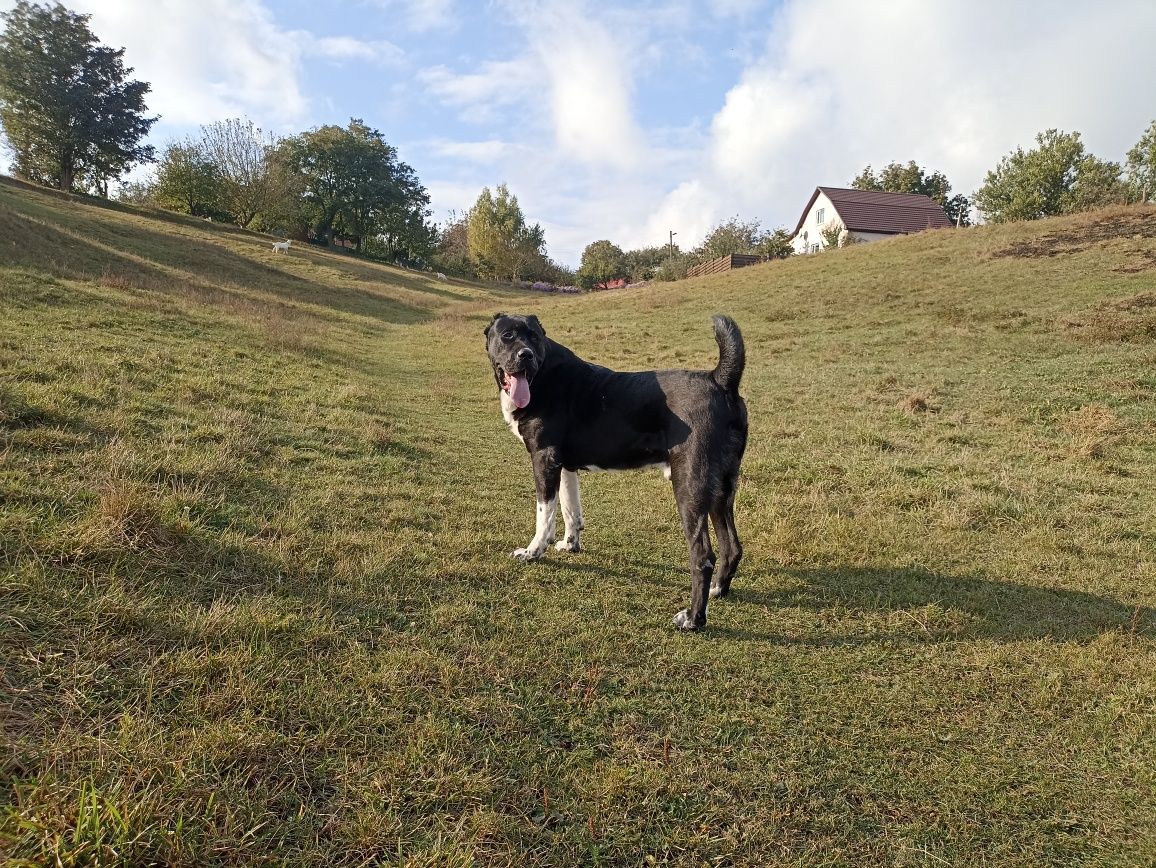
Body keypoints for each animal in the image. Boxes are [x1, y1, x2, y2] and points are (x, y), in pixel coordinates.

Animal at [480, 314, 744, 633]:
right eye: (507, 336)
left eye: (534, 337)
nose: (526, 355)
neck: (542, 377)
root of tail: (720, 380)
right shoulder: (563, 465)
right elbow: (570, 509)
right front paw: (570, 544)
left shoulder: (544, 459)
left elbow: (544, 514)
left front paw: (533, 552)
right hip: (720, 490)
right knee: (732, 547)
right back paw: (717, 590)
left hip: (691, 488)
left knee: (703, 556)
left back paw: (693, 619)